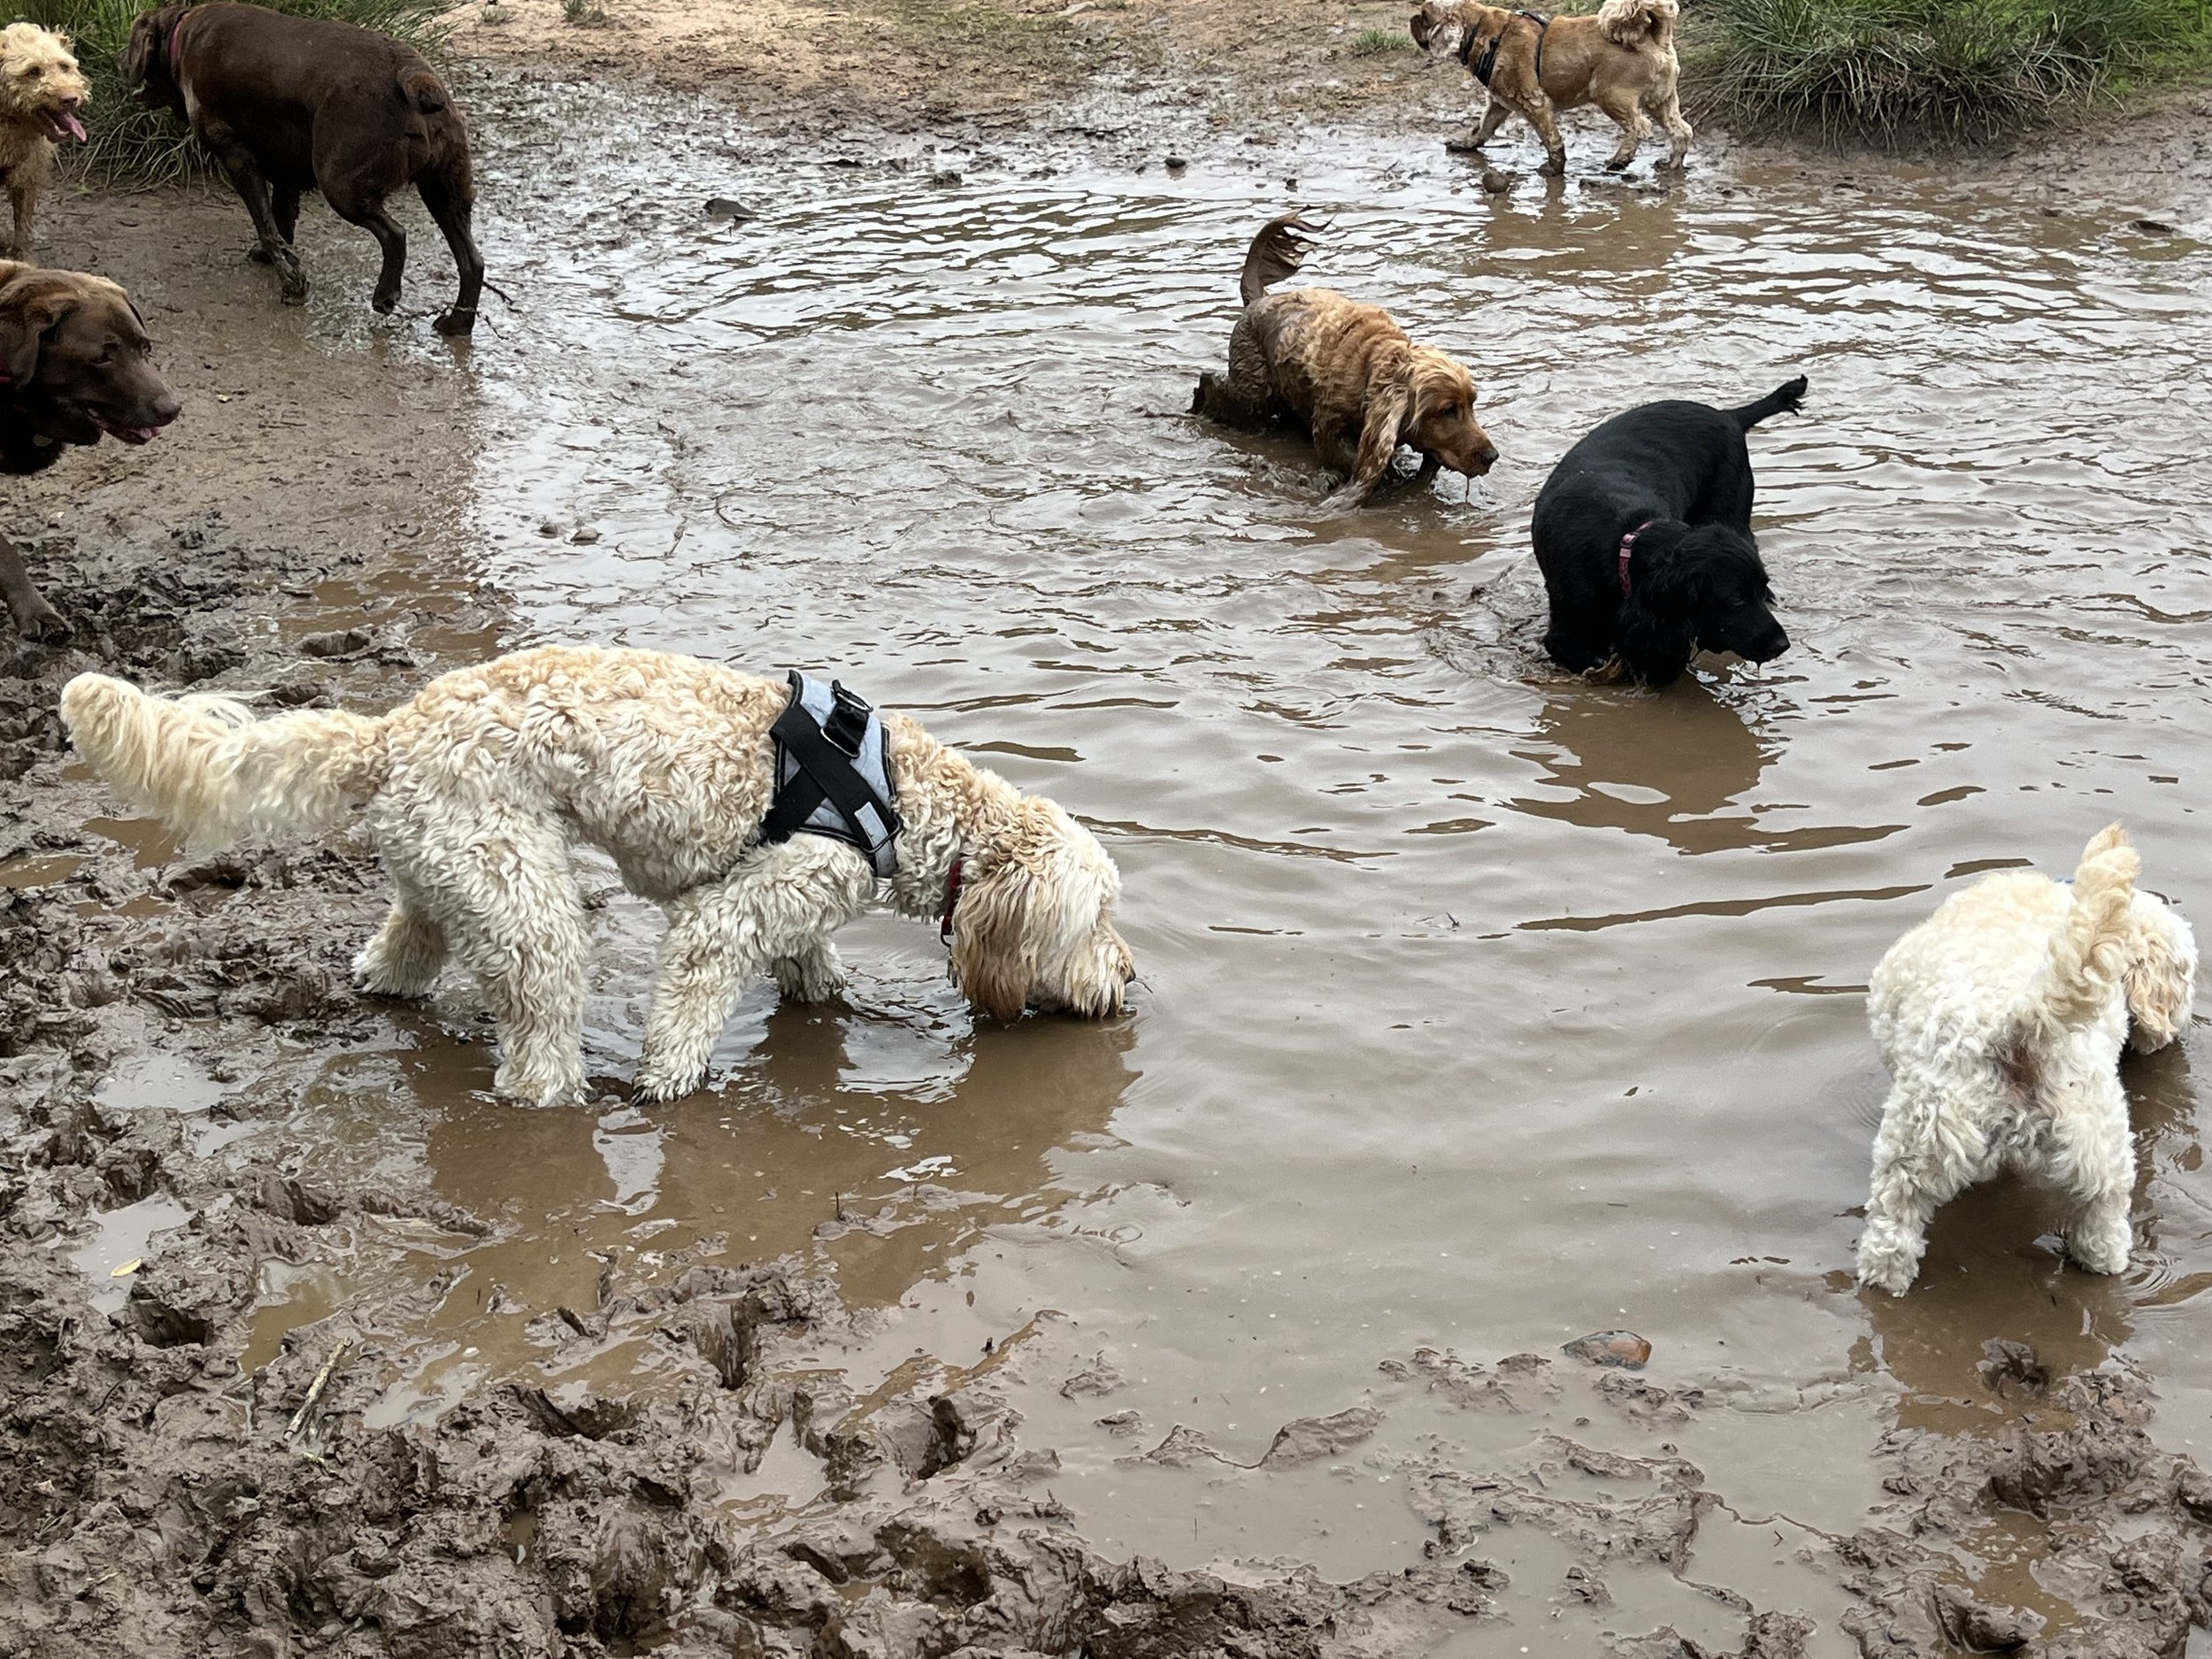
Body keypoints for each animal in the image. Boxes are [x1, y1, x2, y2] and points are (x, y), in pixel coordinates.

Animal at [0, 23, 89, 259]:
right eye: (32, 71)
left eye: (64, 66)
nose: (70, 99)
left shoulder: (26, 174)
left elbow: (22, 222)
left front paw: (22, 256)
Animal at [60, 646, 1133, 1106]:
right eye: (1096, 921)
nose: (1129, 978)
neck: (901, 798)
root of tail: (388, 735)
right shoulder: (730, 912)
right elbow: (696, 989)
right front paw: (671, 1079)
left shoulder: (795, 891)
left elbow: (809, 961)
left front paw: (831, 995)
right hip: (523, 899)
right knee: (535, 1020)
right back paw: (557, 1093)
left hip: (447, 868)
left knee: (404, 941)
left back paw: (384, 982)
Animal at [1194, 215, 1504, 513]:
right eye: (1448, 410)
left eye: (1472, 404)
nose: (1492, 456)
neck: (1370, 366)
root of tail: (1258, 300)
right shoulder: (1328, 428)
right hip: (1254, 396)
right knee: (1211, 383)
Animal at [1416, 0, 1690, 178]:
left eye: (1424, 15)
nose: (1412, 19)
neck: (1485, 31)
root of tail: (1655, 37)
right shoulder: (1498, 105)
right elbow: (1482, 129)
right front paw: (1466, 144)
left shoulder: (1534, 102)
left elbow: (1551, 139)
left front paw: (1554, 168)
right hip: (1661, 101)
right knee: (1682, 131)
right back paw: (1672, 164)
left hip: (1610, 95)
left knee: (1639, 127)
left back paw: (1619, 160)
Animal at [1849, 832, 2194, 1301]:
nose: (2177, 1031)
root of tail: (2020, 1027)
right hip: (2099, 1149)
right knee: (2101, 1229)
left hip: (1915, 1144)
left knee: (1892, 1230)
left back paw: (1885, 1279)